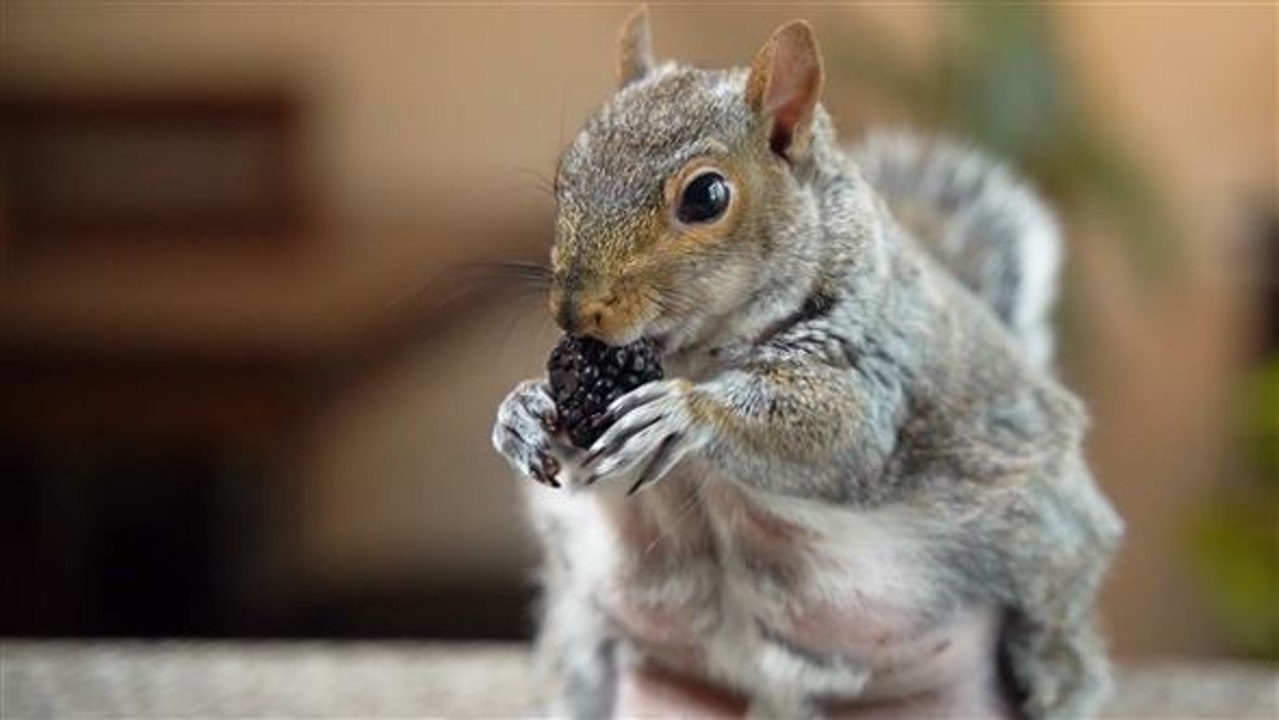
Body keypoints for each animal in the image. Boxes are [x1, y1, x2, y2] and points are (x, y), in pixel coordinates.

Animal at [492, 7, 1122, 719]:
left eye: (706, 196)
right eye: (565, 172)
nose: (576, 312)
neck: (691, 352)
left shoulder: (881, 366)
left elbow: (841, 432)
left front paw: (685, 413)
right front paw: (521, 411)